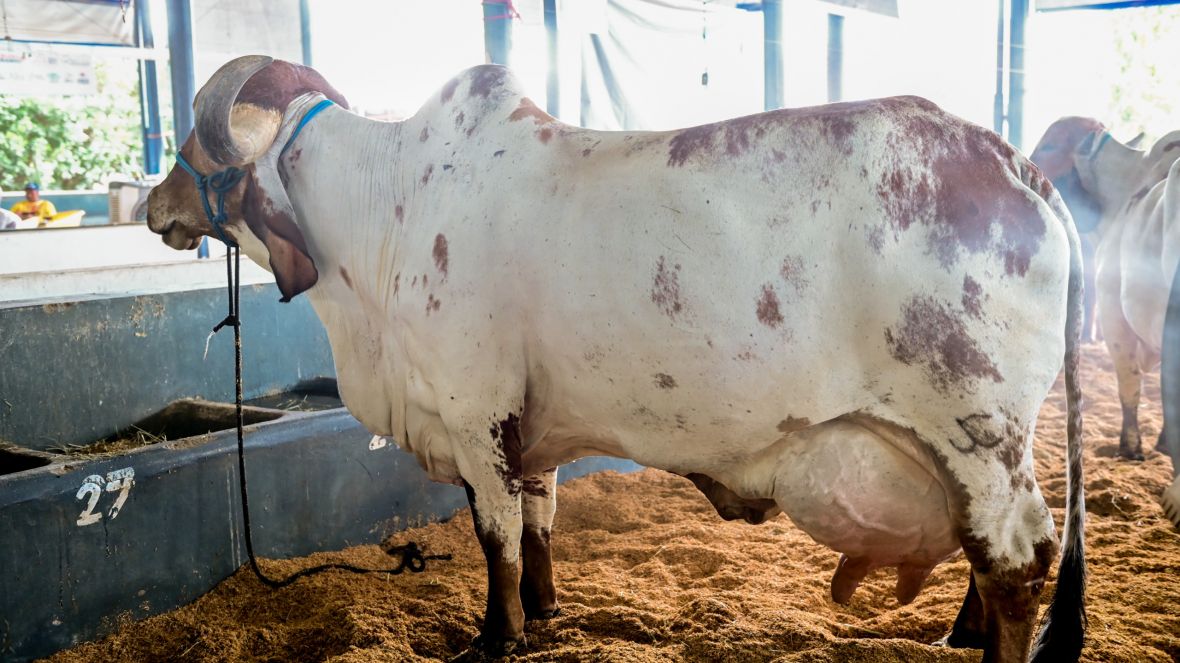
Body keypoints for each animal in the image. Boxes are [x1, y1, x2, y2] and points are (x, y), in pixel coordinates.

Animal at [148, 56, 1087, 662]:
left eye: (192, 147)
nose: (156, 202)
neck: (388, 211)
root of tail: (1019, 168)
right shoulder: (530, 429)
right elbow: (537, 523)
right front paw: (546, 612)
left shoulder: (475, 414)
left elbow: (494, 533)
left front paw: (496, 636)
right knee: (990, 551)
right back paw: (959, 629)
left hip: (976, 430)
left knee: (1016, 558)